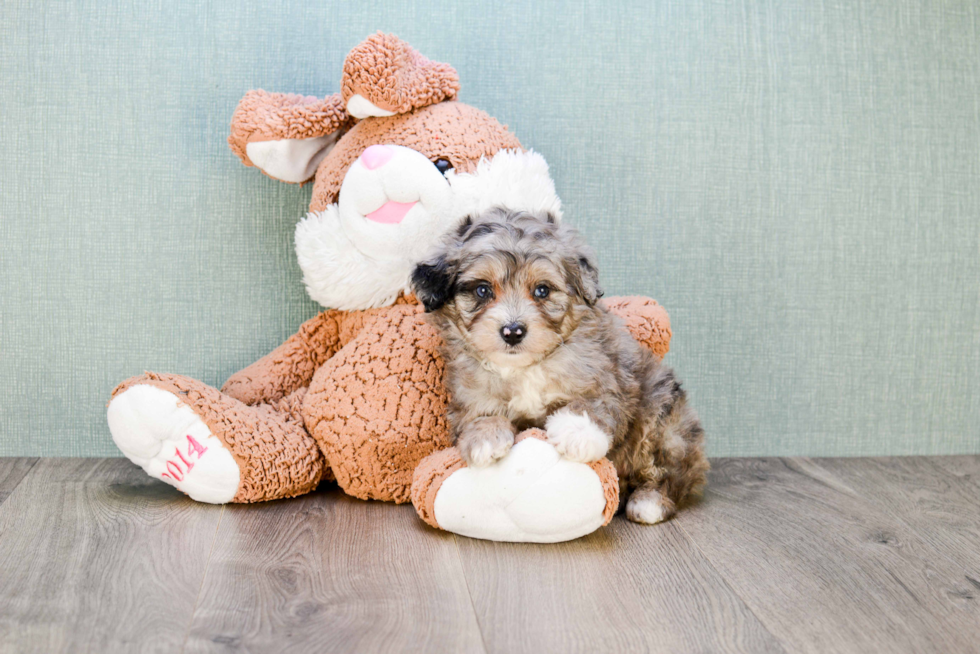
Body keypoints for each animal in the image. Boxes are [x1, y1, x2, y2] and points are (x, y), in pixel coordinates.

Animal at [410, 210, 708, 528]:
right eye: (482, 290)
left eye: (542, 290)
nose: (513, 331)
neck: (525, 367)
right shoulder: (469, 392)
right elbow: (480, 414)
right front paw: (485, 439)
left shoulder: (604, 377)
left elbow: (592, 404)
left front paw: (577, 432)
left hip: (664, 422)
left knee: (671, 473)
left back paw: (649, 502)